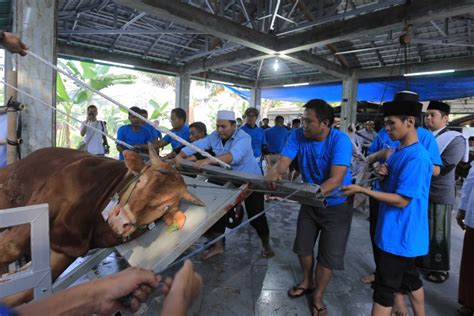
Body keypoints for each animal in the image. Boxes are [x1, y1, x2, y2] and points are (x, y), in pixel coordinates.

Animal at [0, 144, 202, 304]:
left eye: (165, 206)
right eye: (141, 180)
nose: (121, 220)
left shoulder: (68, 247)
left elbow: (22, 293)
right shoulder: (48, 198)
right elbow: (10, 248)